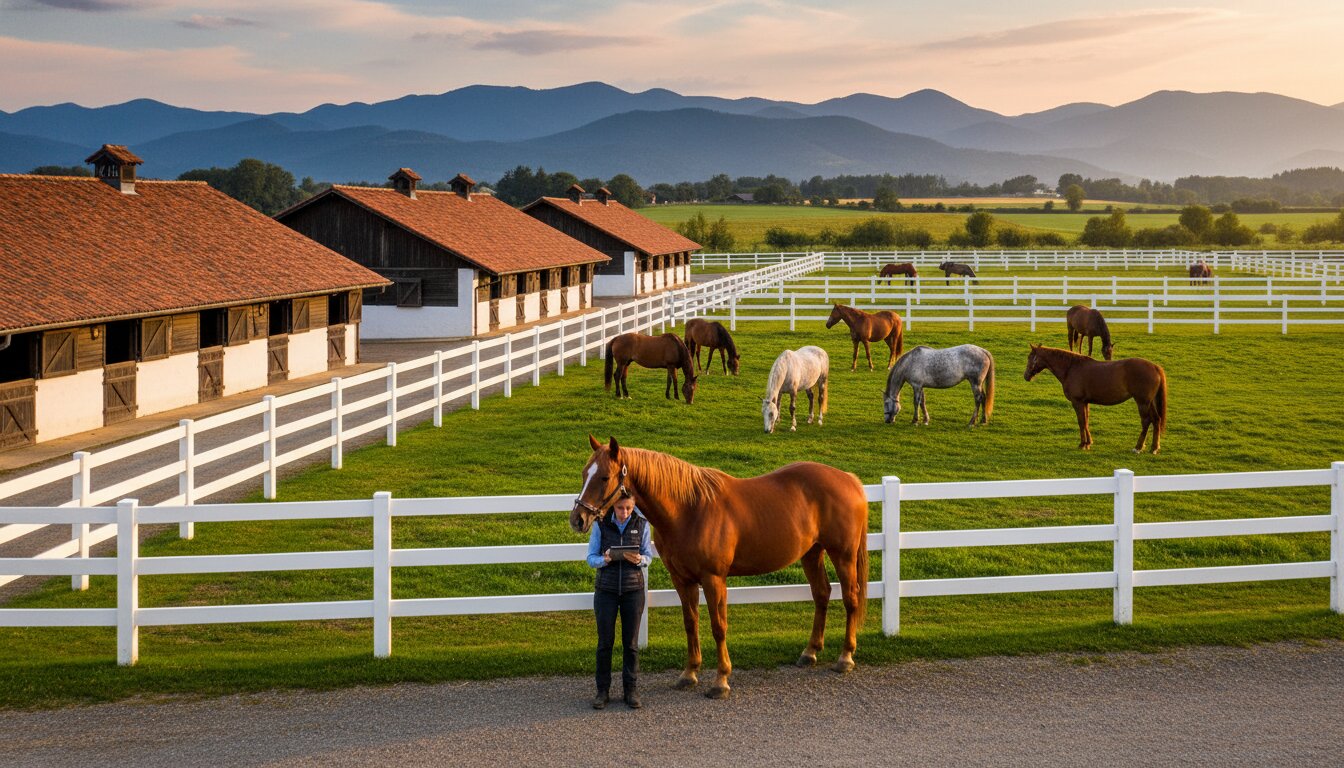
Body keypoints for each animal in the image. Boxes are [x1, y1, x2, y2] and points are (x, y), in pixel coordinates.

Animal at [571, 435, 870, 699]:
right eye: (585, 473)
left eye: (604, 477)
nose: (578, 519)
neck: (689, 510)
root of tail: (849, 479)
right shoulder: (682, 580)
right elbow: (690, 622)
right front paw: (689, 674)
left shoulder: (714, 579)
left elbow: (718, 626)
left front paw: (721, 681)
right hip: (811, 553)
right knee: (822, 594)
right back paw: (810, 652)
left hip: (842, 555)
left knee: (850, 598)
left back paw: (845, 657)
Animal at [1024, 344, 1166, 453]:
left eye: (1030, 357)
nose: (1026, 376)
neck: (1071, 368)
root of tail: (1155, 367)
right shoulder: (1085, 402)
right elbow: (1086, 421)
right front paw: (1088, 443)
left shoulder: (1077, 402)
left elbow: (1081, 422)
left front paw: (1082, 444)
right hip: (1149, 403)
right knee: (1156, 420)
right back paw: (1154, 448)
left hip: (1142, 402)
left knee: (1146, 421)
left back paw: (1138, 447)